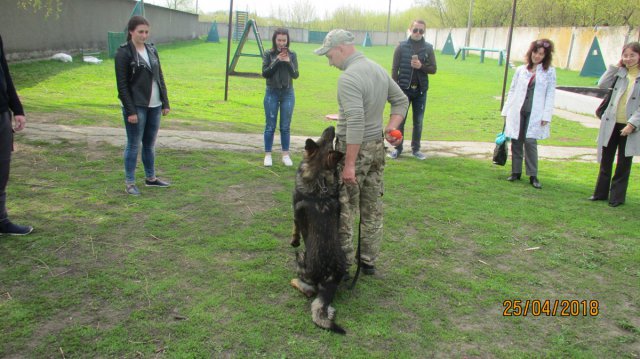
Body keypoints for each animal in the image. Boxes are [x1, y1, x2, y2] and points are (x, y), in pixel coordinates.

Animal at [290, 126, 348, 334]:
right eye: (327, 140)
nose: (332, 128)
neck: (318, 178)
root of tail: (330, 277)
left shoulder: (294, 212)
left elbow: (295, 227)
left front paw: (294, 240)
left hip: (303, 263)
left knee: (309, 290)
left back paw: (295, 279)